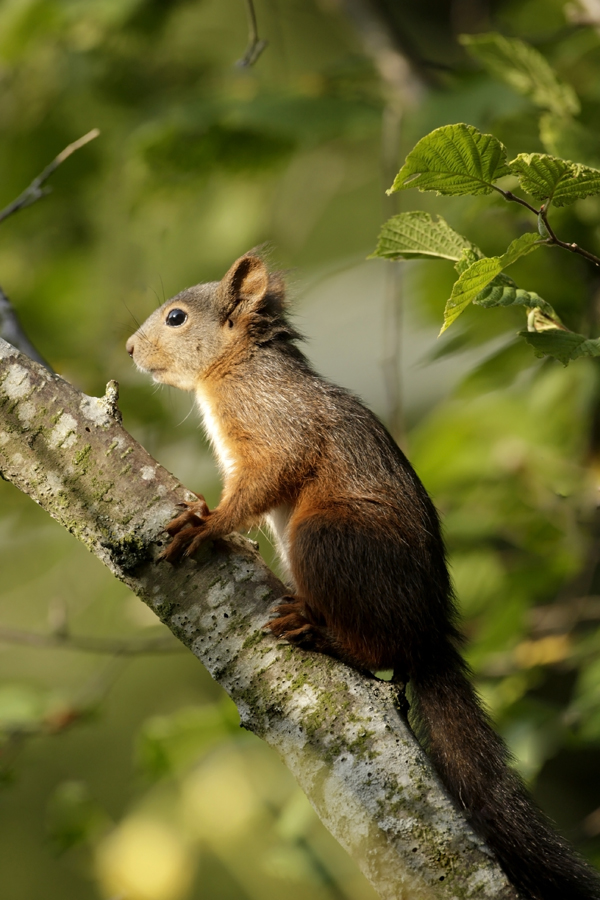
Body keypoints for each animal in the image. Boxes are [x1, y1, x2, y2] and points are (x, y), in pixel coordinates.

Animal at [126, 253, 600, 900]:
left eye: (175, 317)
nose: (129, 348)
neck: (235, 367)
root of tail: (431, 632)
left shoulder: (274, 422)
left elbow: (268, 475)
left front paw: (208, 522)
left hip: (329, 540)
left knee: (381, 650)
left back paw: (322, 633)